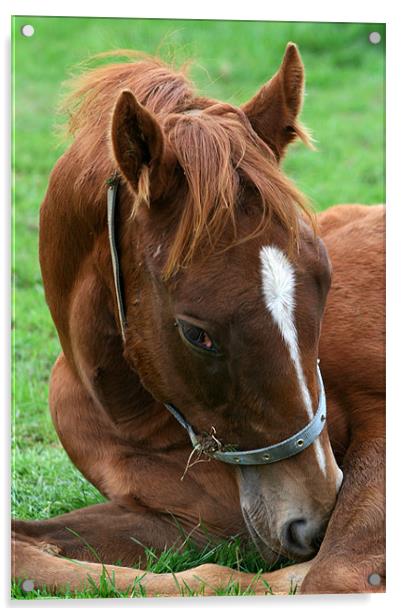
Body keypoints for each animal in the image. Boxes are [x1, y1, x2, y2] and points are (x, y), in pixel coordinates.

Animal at [11, 42, 384, 592]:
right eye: (196, 335)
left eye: (326, 282)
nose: (313, 520)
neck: (138, 420)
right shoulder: (182, 521)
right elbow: (25, 549)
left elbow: (331, 573)